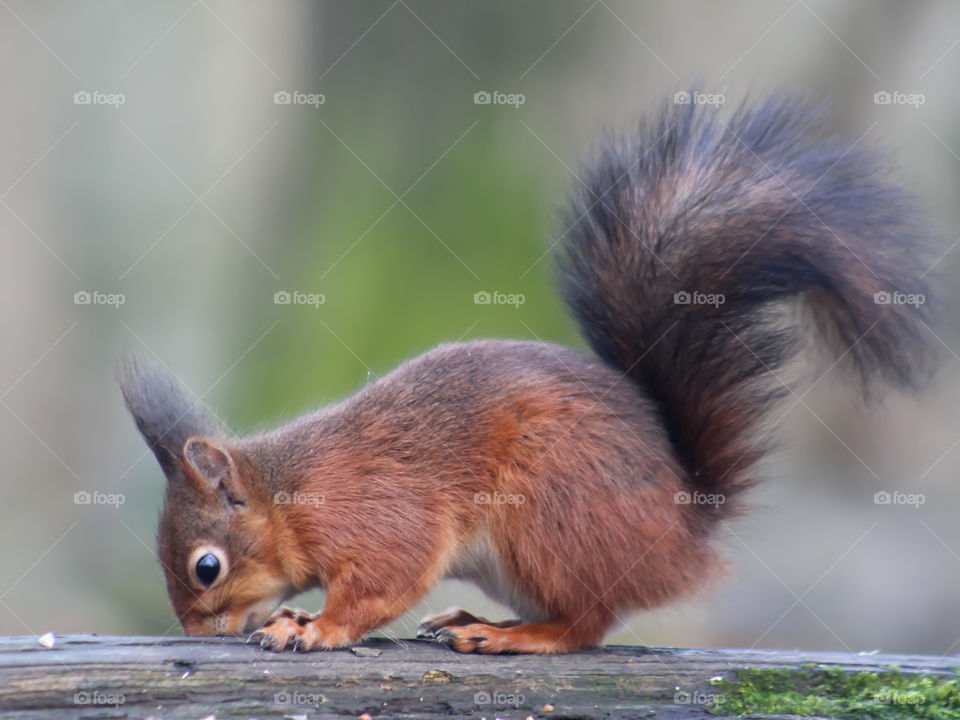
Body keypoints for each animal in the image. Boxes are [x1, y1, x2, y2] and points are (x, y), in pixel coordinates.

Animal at [118, 95, 936, 654]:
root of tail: (684, 527)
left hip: (553, 512)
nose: (195, 634)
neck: (292, 494)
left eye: (206, 567)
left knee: (587, 622)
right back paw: (476, 616)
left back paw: (514, 636)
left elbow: (383, 582)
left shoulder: (380, 515)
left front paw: (313, 626)